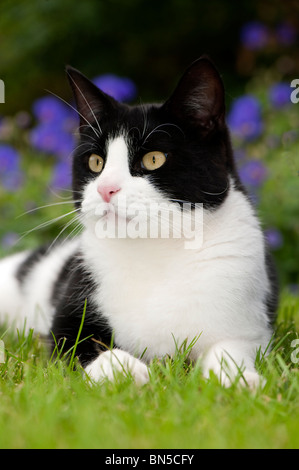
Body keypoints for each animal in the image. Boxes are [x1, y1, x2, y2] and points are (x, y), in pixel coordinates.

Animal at [0, 57, 278, 388]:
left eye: (154, 159)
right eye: (96, 162)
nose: (106, 189)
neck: (155, 249)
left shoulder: (249, 324)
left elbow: (229, 350)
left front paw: (239, 380)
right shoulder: (68, 320)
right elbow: (82, 345)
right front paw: (124, 370)